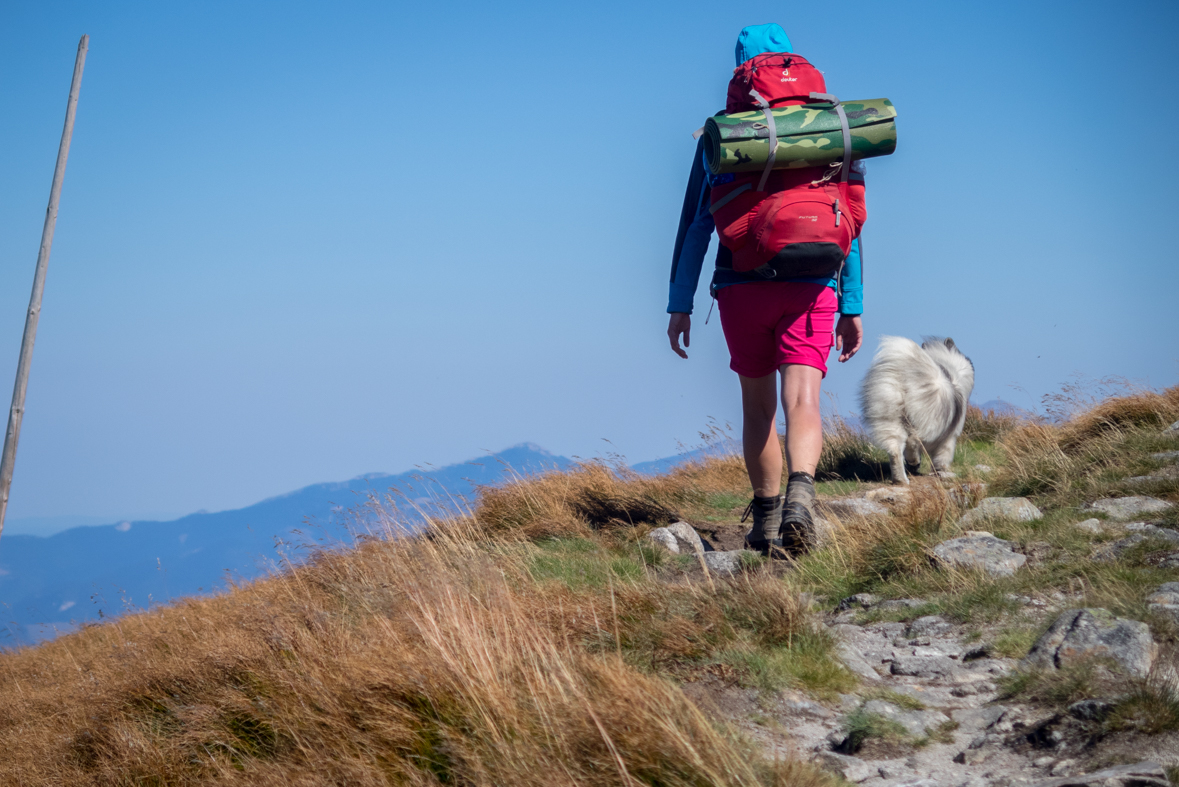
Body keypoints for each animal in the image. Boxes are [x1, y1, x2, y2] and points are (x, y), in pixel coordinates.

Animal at [858, 334, 976, 483]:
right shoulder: (950, 436)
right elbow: (942, 457)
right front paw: (940, 471)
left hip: (888, 415)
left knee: (895, 449)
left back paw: (901, 479)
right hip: (929, 418)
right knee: (914, 439)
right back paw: (912, 461)